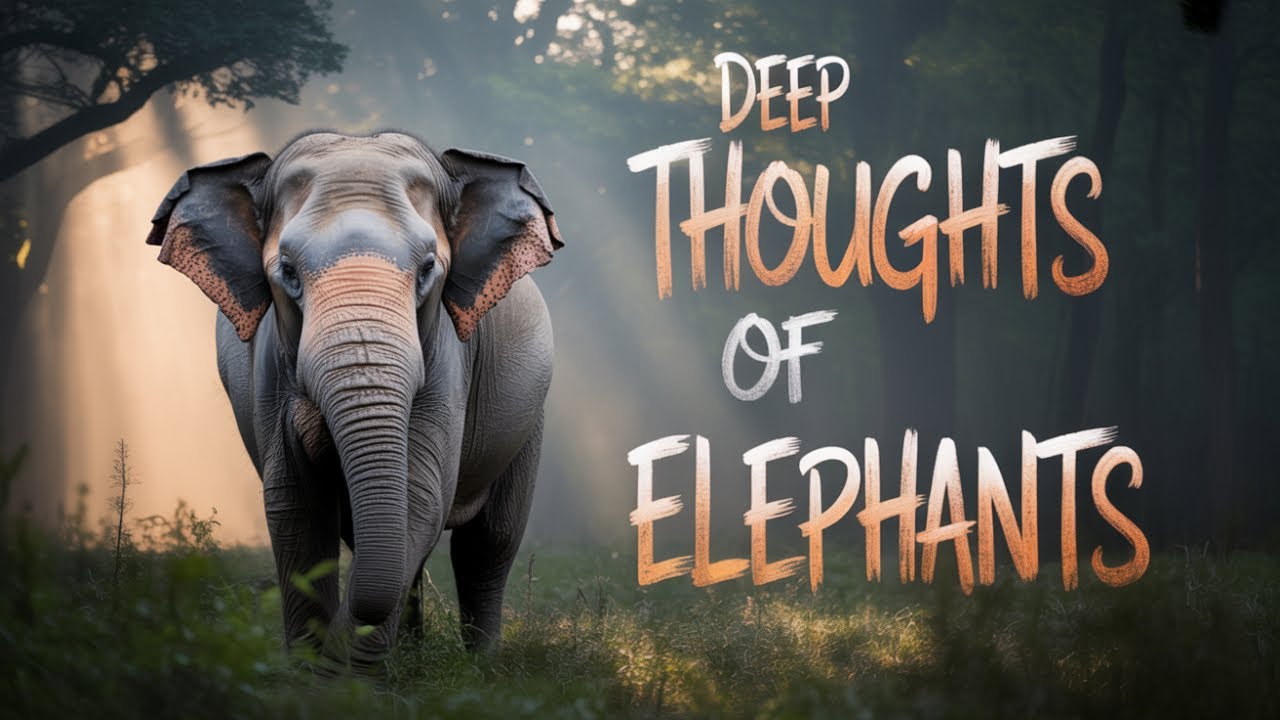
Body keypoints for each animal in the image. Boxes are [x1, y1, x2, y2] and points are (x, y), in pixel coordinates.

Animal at [145, 131, 561, 667]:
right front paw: (313, 672)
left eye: (428, 268)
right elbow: (294, 504)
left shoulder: (449, 357)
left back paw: (478, 667)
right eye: (288, 271)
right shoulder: (269, 370)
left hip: (529, 417)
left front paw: (344, 674)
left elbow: (420, 494)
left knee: (488, 542)